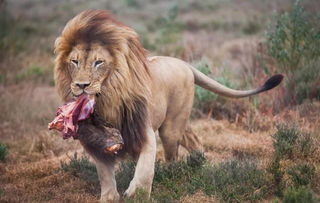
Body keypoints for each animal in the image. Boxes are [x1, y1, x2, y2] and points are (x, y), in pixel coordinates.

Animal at [53, 9, 284, 201]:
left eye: (98, 62)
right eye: (74, 62)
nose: (81, 85)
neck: (107, 100)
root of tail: (184, 63)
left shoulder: (143, 131)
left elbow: (145, 169)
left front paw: (136, 194)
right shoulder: (96, 141)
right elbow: (105, 174)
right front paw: (109, 197)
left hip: (171, 127)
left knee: (173, 155)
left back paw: (173, 172)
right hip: (179, 121)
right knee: (193, 139)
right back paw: (199, 162)